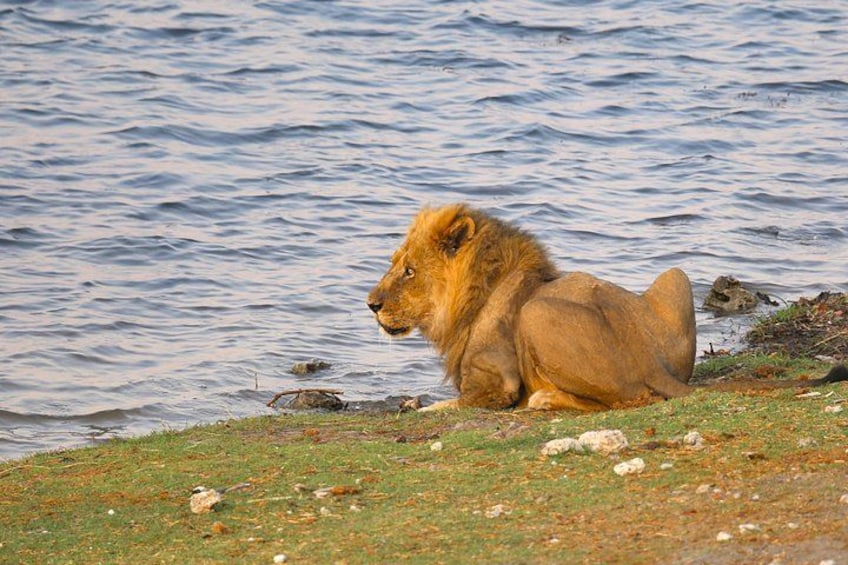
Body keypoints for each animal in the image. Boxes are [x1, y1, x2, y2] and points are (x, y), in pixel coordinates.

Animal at [367, 204, 848, 411]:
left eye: (408, 271)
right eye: (395, 263)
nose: (370, 304)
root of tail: (649, 360)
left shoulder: (494, 386)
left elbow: (436, 408)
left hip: (534, 315)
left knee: (620, 401)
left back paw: (544, 399)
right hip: (675, 276)